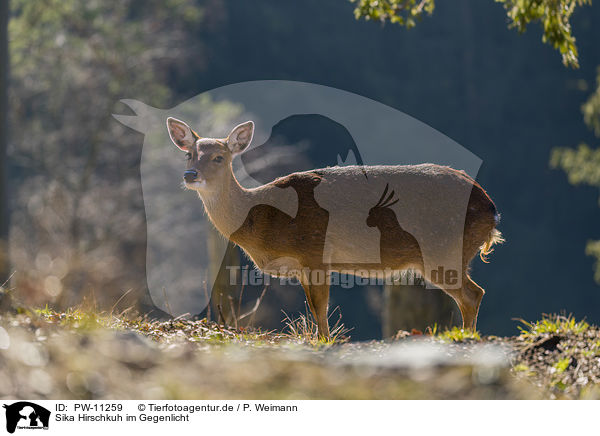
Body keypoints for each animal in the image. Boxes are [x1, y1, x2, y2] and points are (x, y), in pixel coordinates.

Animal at [168, 117, 502, 338]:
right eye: (189, 154)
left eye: (218, 157)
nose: (189, 174)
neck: (263, 218)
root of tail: (491, 209)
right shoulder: (303, 266)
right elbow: (314, 310)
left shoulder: (315, 253)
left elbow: (320, 308)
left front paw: (325, 343)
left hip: (442, 250)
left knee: (473, 294)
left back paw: (467, 339)